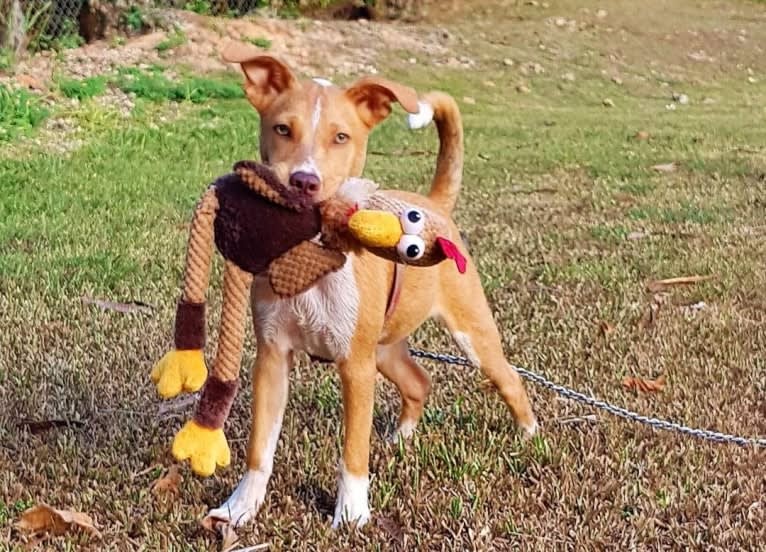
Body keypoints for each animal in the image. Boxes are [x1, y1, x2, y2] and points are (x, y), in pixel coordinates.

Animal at [204, 42, 540, 528]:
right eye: (282, 128)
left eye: (342, 137)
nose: (304, 181)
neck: (314, 260)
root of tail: (433, 205)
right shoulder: (272, 356)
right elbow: (259, 448)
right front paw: (239, 508)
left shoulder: (355, 368)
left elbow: (353, 452)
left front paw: (350, 515)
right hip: (383, 346)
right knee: (419, 381)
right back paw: (400, 439)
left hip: (468, 334)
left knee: (509, 378)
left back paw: (529, 435)